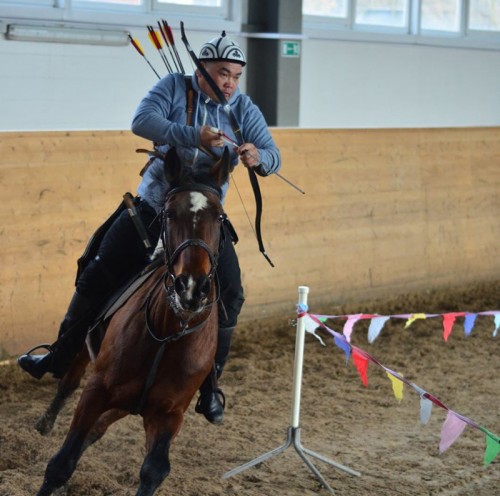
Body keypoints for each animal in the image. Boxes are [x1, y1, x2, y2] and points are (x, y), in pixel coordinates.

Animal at [33, 147, 232, 496]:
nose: (191, 287)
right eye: (168, 214)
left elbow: (154, 470)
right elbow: (61, 463)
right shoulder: (97, 391)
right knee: (69, 380)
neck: (167, 334)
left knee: (98, 428)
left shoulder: (169, 414)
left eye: (219, 217)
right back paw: (46, 417)